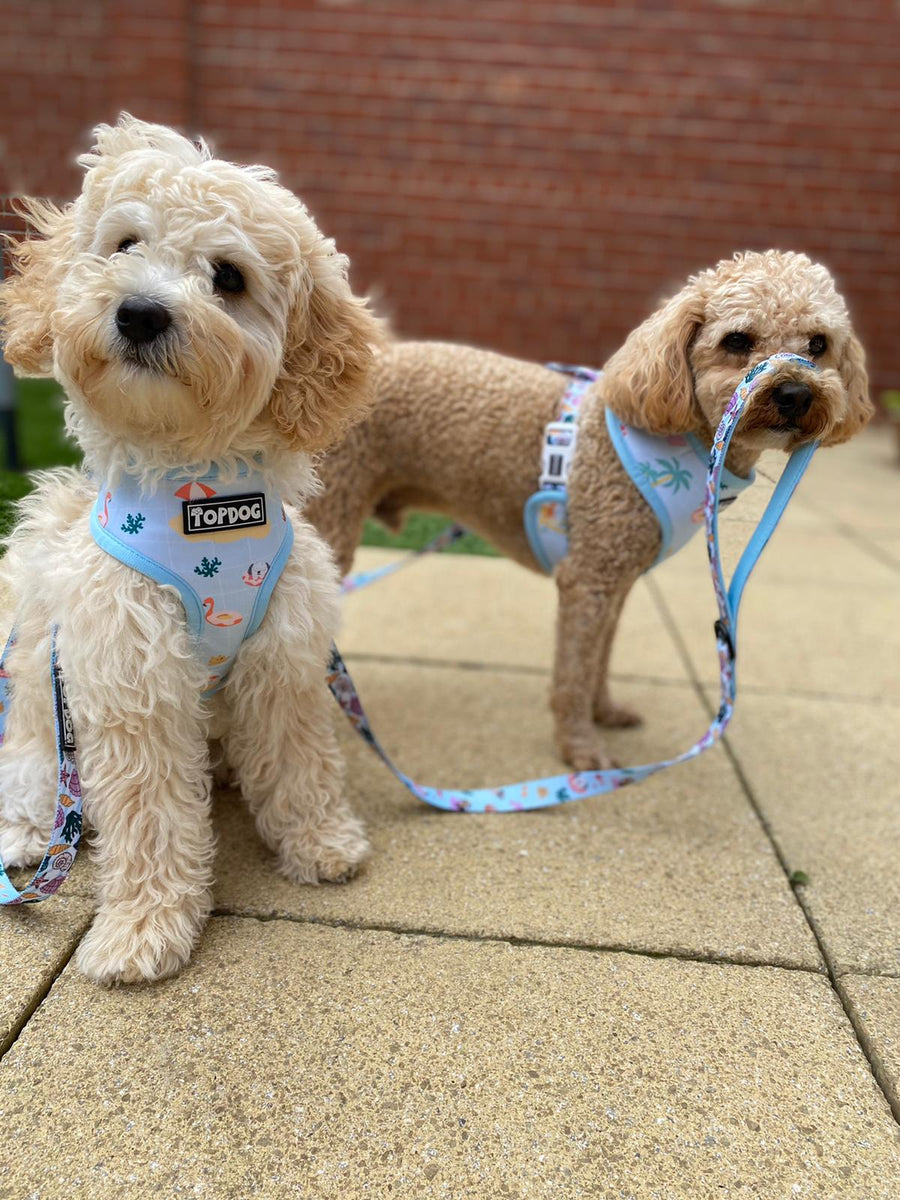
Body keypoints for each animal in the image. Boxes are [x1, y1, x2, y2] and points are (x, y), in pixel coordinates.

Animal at [0, 112, 384, 979]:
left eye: (229, 278)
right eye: (124, 244)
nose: (141, 313)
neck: (198, 495)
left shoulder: (283, 654)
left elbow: (299, 758)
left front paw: (321, 842)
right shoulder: (131, 683)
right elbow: (147, 817)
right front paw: (143, 930)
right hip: (42, 723)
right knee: (29, 787)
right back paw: (26, 841)